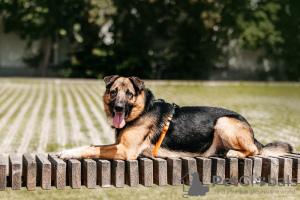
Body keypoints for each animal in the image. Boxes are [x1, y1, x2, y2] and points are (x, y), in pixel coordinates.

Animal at [57, 76, 292, 160]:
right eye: (114, 92)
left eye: (129, 94)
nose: (119, 107)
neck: (143, 110)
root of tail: (253, 134)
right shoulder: (119, 145)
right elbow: (92, 145)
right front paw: (69, 150)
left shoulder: (124, 150)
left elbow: (93, 149)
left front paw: (70, 153)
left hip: (224, 122)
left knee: (252, 150)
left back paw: (235, 152)